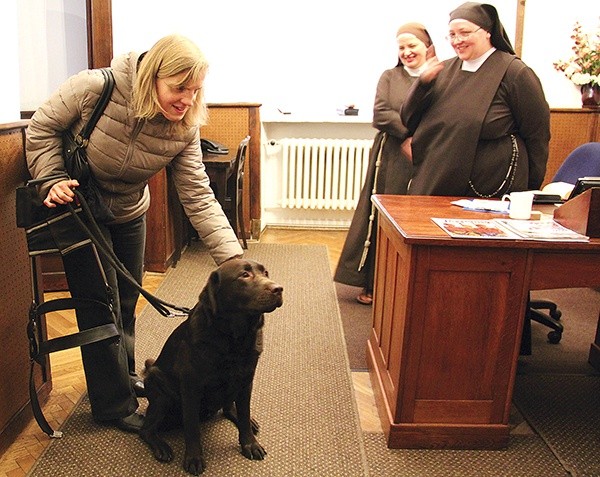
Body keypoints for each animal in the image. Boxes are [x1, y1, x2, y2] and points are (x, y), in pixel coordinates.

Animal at [141, 258, 284, 474]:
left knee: (228, 407)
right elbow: (192, 427)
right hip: (160, 390)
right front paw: (194, 457)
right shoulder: (191, 386)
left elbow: (244, 414)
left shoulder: (246, 379)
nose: (279, 289)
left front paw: (250, 443)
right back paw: (161, 447)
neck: (235, 338)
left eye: (266, 273)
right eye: (244, 275)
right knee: (145, 429)